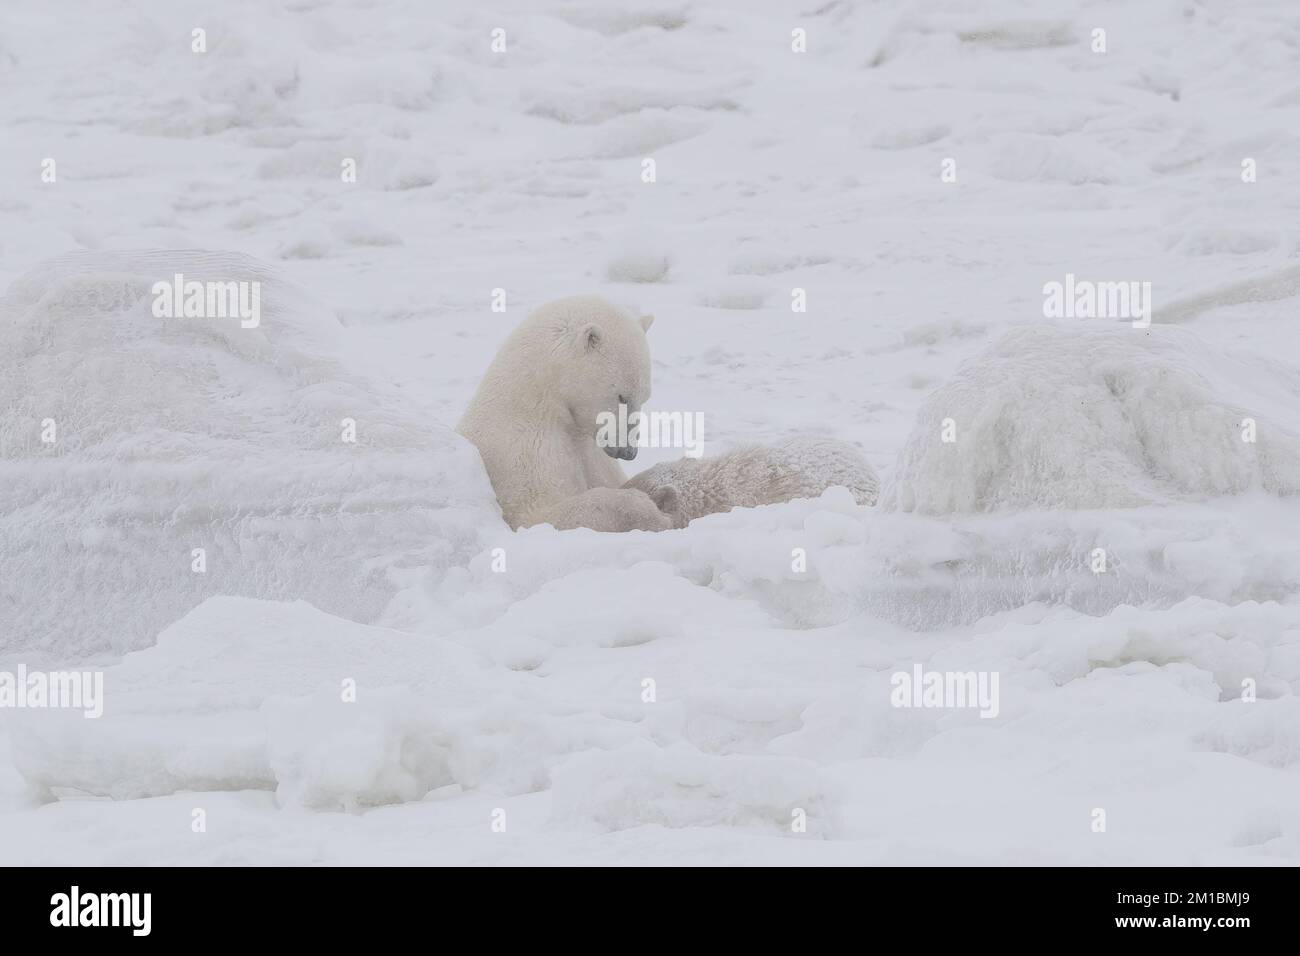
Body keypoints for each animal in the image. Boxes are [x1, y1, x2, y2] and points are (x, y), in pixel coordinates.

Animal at [457, 295, 678, 532]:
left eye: (645, 397)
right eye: (622, 396)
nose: (628, 452)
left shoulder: (591, 452)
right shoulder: (527, 450)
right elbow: (540, 515)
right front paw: (647, 507)